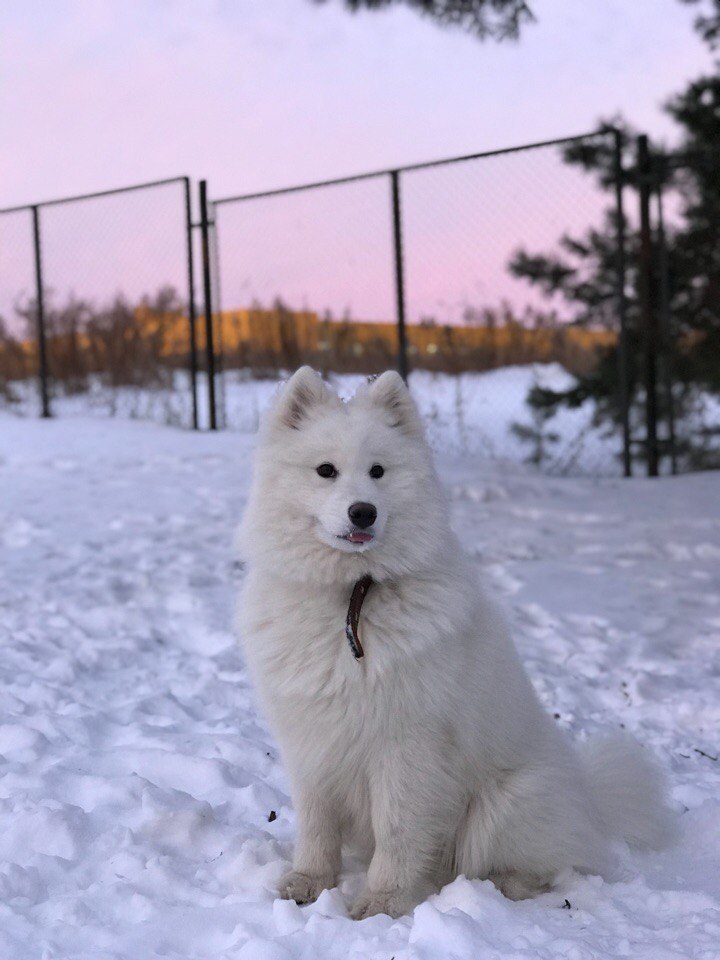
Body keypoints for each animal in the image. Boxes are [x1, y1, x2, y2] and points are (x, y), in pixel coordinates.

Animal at [238, 364, 676, 920]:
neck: (352, 597)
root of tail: (589, 798)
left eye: (378, 471)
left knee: (538, 865)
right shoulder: (313, 743)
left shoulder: (406, 747)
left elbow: (397, 831)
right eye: (326, 471)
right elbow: (316, 826)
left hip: (503, 804)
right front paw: (307, 883)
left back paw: (499, 886)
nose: (363, 512)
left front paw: (381, 903)